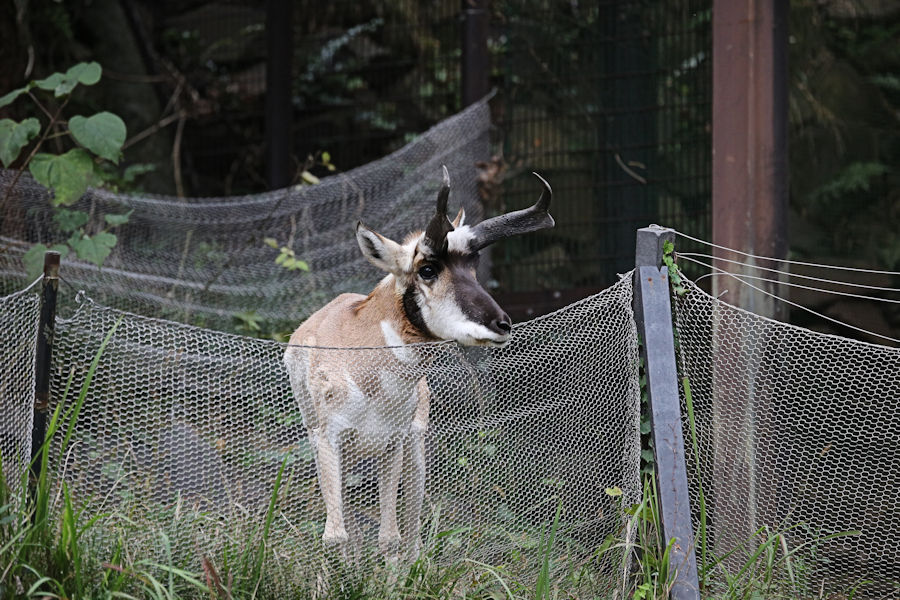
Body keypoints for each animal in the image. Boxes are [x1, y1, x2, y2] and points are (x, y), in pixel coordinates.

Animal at [282, 165, 552, 556]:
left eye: (473, 266)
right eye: (427, 269)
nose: (502, 324)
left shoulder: (393, 444)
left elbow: (391, 538)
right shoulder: (328, 439)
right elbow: (336, 535)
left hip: (414, 451)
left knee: (410, 527)